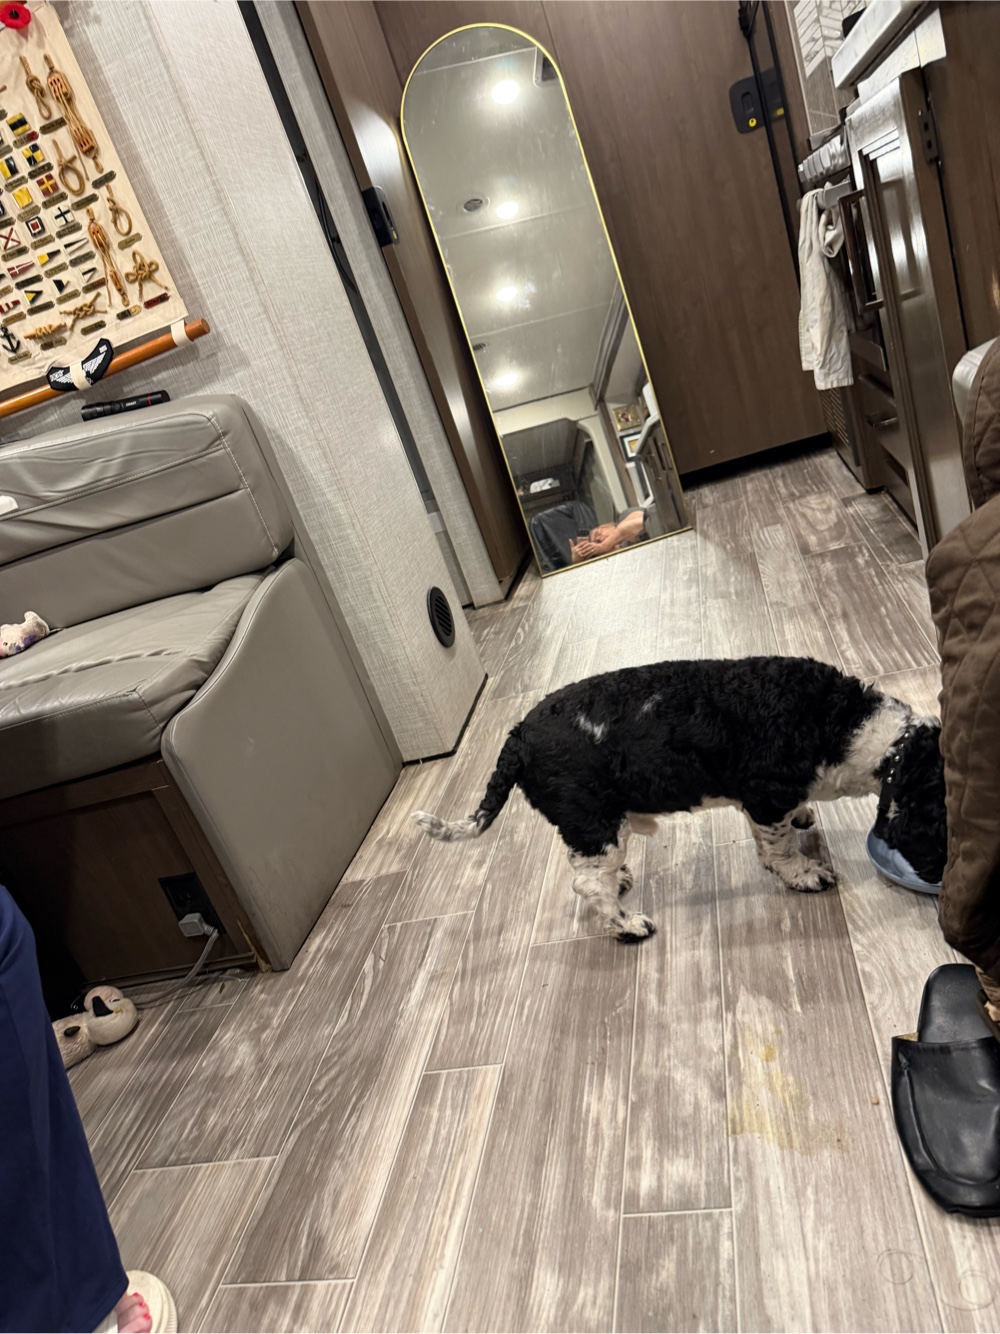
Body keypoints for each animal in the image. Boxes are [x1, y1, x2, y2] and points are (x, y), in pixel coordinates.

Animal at [413, 656, 946, 941]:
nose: (940, 881)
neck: (849, 726)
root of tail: (517, 738)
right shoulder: (765, 794)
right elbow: (779, 849)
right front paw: (804, 874)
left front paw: (801, 818)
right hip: (593, 818)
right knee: (587, 884)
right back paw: (628, 925)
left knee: (592, 873)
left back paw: (621, 882)